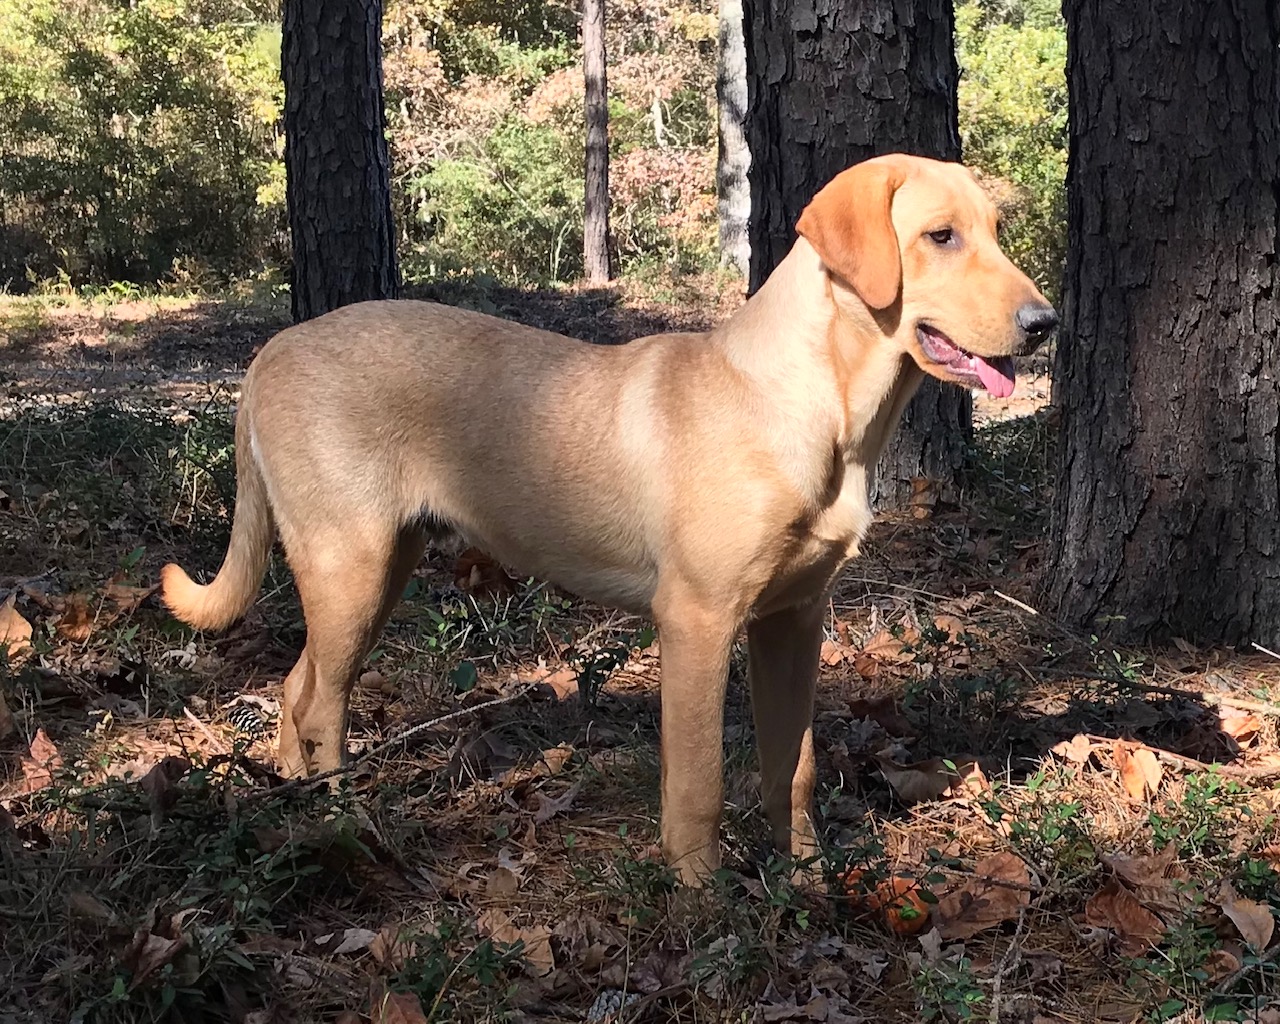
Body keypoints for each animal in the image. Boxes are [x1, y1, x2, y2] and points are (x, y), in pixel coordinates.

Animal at [162, 156, 1059, 885]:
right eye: (940, 236)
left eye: (996, 231)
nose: (1045, 323)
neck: (821, 408)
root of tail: (269, 353)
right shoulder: (698, 619)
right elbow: (698, 782)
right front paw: (703, 903)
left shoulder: (794, 619)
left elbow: (791, 767)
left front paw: (804, 878)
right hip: (352, 565)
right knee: (320, 703)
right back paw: (343, 826)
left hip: (378, 568)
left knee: (298, 685)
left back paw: (295, 800)